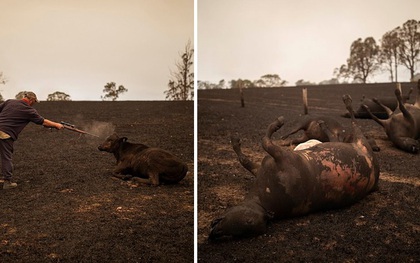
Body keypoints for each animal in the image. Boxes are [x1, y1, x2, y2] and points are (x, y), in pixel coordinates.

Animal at [208, 95, 378, 241]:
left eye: (246, 221)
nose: (215, 233)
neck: (263, 203)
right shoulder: (261, 168)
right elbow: (245, 159)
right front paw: (236, 141)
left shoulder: (278, 156)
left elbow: (264, 140)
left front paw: (277, 123)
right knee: (334, 136)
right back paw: (324, 124)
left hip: (359, 139)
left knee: (353, 122)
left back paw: (344, 103)